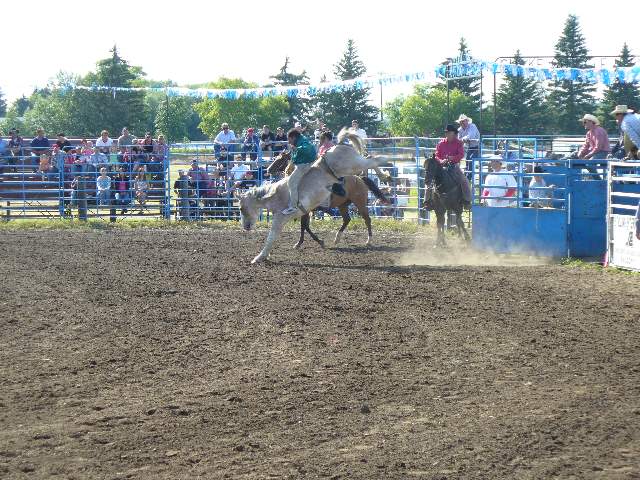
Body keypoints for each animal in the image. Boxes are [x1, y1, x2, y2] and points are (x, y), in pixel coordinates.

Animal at [240, 127, 388, 262]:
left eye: (241, 208)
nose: (245, 227)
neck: (275, 194)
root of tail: (339, 145)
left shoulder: (281, 218)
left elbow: (273, 236)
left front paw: (259, 257)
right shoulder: (305, 212)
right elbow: (304, 226)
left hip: (357, 185)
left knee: (374, 161)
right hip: (344, 201)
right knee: (347, 218)